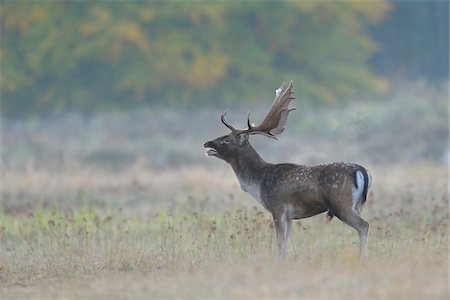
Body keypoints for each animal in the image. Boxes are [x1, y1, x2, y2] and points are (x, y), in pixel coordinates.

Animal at [205, 81, 372, 258]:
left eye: (226, 140)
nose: (206, 143)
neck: (258, 182)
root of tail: (363, 171)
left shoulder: (278, 208)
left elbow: (280, 241)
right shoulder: (291, 215)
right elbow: (286, 241)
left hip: (341, 203)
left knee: (364, 225)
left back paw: (362, 258)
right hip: (357, 205)